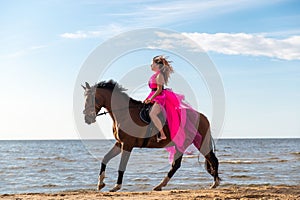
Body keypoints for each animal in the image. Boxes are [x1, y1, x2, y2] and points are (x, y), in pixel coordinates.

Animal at [82, 80, 220, 192]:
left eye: (90, 99)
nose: (87, 119)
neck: (124, 113)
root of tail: (203, 116)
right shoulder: (119, 143)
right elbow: (105, 158)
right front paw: (100, 183)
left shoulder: (127, 144)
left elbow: (122, 166)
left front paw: (116, 186)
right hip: (184, 144)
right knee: (177, 165)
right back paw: (160, 186)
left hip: (198, 143)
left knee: (211, 160)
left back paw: (214, 183)